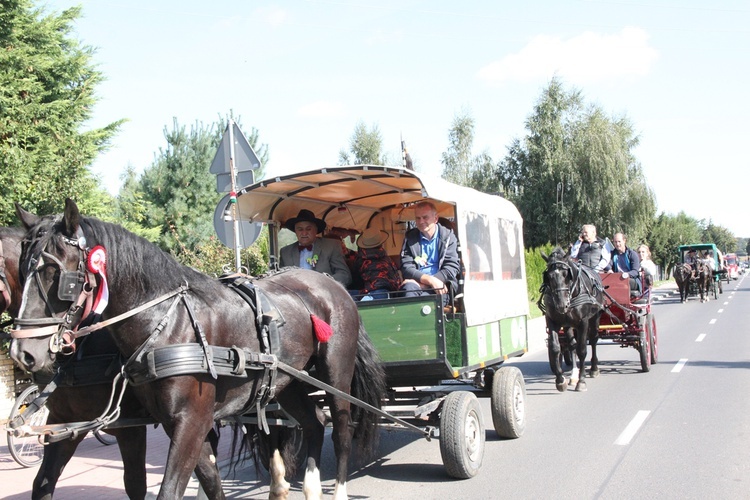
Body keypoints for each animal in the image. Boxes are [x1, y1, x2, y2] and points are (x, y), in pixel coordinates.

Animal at [10, 199, 388, 500]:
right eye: (21, 269)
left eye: (56, 273)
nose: (22, 353)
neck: (166, 320)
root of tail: (332, 285)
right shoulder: (168, 423)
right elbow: (209, 481)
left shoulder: (186, 421)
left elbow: (166, 488)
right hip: (288, 383)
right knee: (314, 424)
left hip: (335, 375)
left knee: (341, 429)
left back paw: (337, 489)